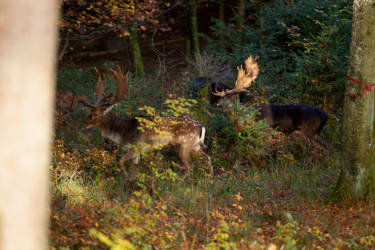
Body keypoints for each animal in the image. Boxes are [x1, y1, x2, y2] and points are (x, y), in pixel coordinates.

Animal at [79, 65, 212, 177]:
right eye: (89, 112)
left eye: (95, 115)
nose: (83, 124)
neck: (122, 133)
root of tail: (202, 127)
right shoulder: (137, 152)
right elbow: (133, 166)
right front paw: (131, 180)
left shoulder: (136, 146)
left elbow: (121, 161)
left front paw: (126, 178)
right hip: (195, 145)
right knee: (208, 158)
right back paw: (210, 178)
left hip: (183, 144)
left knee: (190, 165)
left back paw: (180, 181)